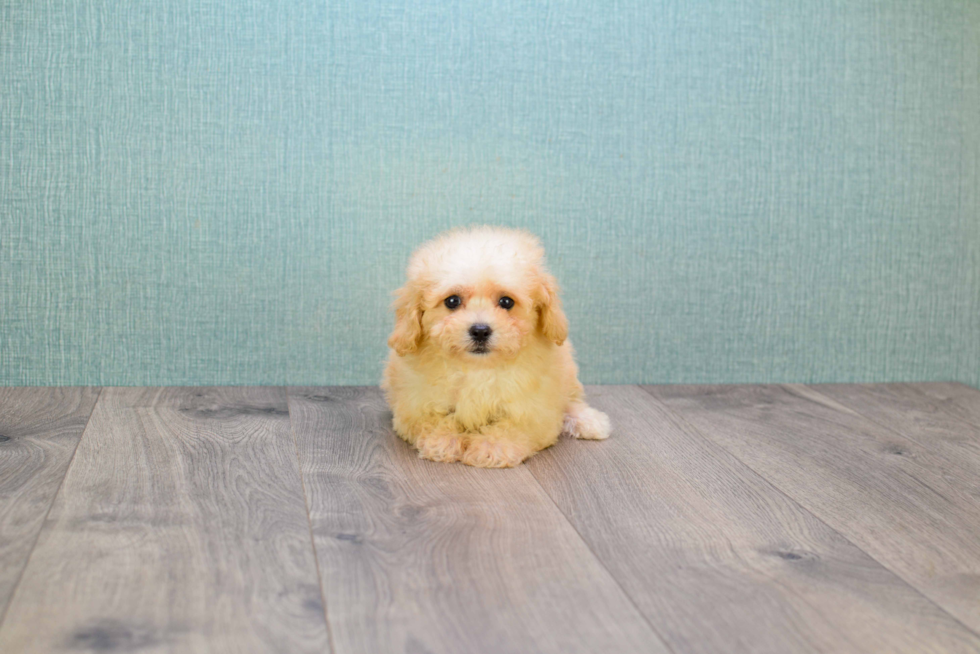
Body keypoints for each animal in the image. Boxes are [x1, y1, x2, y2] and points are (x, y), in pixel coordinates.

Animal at [378, 228, 608, 468]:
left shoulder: (534, 411)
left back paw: (589, 421)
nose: (480, 330)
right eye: (452, 301)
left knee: (570, 401)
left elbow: (513, 428)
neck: (478, 368)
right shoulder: (413, 406)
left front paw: (491, 447)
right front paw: (444, 441)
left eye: (506, 302)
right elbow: (432, 421)